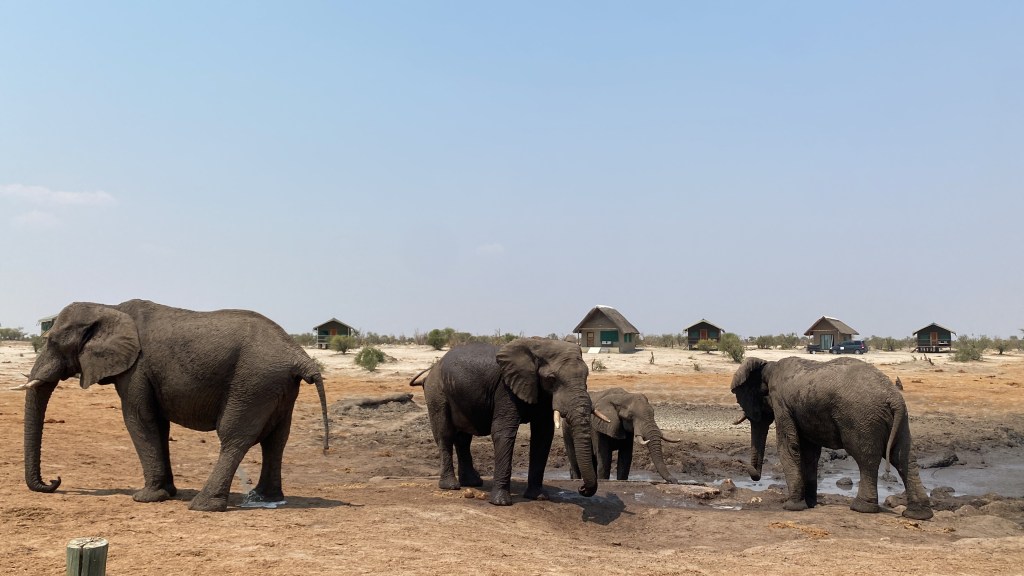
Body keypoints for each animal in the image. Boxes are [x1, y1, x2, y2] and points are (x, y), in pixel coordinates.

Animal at [12, 299, 329, 512]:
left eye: (52, 342)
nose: (55, 480)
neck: (108, 307)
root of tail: (298, 356)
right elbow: (158, 425)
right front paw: (167, 492)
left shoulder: (137, 369)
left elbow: (140, 420)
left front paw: (146, 498)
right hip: (277, 386)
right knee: (275, 440)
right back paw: (265, 498)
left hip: (252, 382)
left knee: (234, 438)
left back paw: (203, 505)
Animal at [409, 338, 601, 505]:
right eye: (551, 379)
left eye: (586, 376)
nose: (582, 489)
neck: (538, 345)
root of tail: (431, 370)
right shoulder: (505, 388)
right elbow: (503, 432)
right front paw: (501, 503)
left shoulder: (542, 393)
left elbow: (543, 435)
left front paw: (538, 497)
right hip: (436, 392)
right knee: (445, 435)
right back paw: (451, 486)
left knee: (463, 439)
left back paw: (473, 483)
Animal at [731, 356, 933, 520]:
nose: (740, 462)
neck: (768, 366)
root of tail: (894, 398)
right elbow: (809, 452)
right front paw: (810, 504)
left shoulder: (781, 403)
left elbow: (789, 447)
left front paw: (792, 507)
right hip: (901, 419)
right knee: (904, 457)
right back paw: (919, 514)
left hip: (861, 417)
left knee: (866, 458)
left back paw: (861, 508)